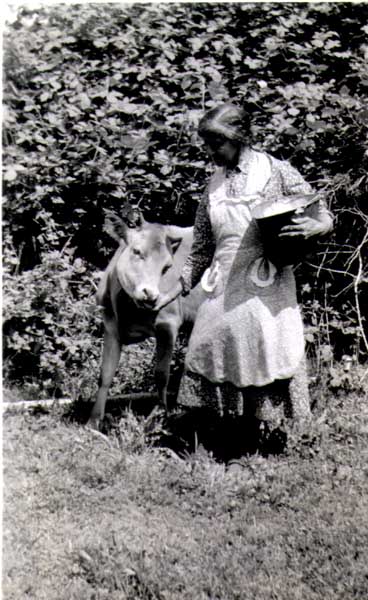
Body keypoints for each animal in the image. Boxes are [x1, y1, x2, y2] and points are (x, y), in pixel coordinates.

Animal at [88, 211, 198, 426]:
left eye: (167, 266)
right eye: (137, 251)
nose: (151, 294)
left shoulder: (168, 323)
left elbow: (161, 374)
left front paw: (158, 417)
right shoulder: (111, 327)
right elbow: (105, 374)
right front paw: (94, 420)